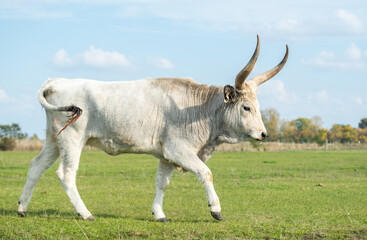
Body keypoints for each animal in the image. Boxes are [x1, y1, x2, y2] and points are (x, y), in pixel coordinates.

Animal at [17, 35, 288, 221]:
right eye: (246, 107)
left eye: (257, 106)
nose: (263, 134)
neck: (197, 109)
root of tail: (56, 81)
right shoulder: (180, 150)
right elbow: (205, 173)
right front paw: (216, 208)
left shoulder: (167, 155)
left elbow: (161, 183)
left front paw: (159, 213)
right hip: (72, 140)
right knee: (66, 174)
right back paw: (85, 213)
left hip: (54, 140)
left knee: (36, 166)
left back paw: (22, 208)